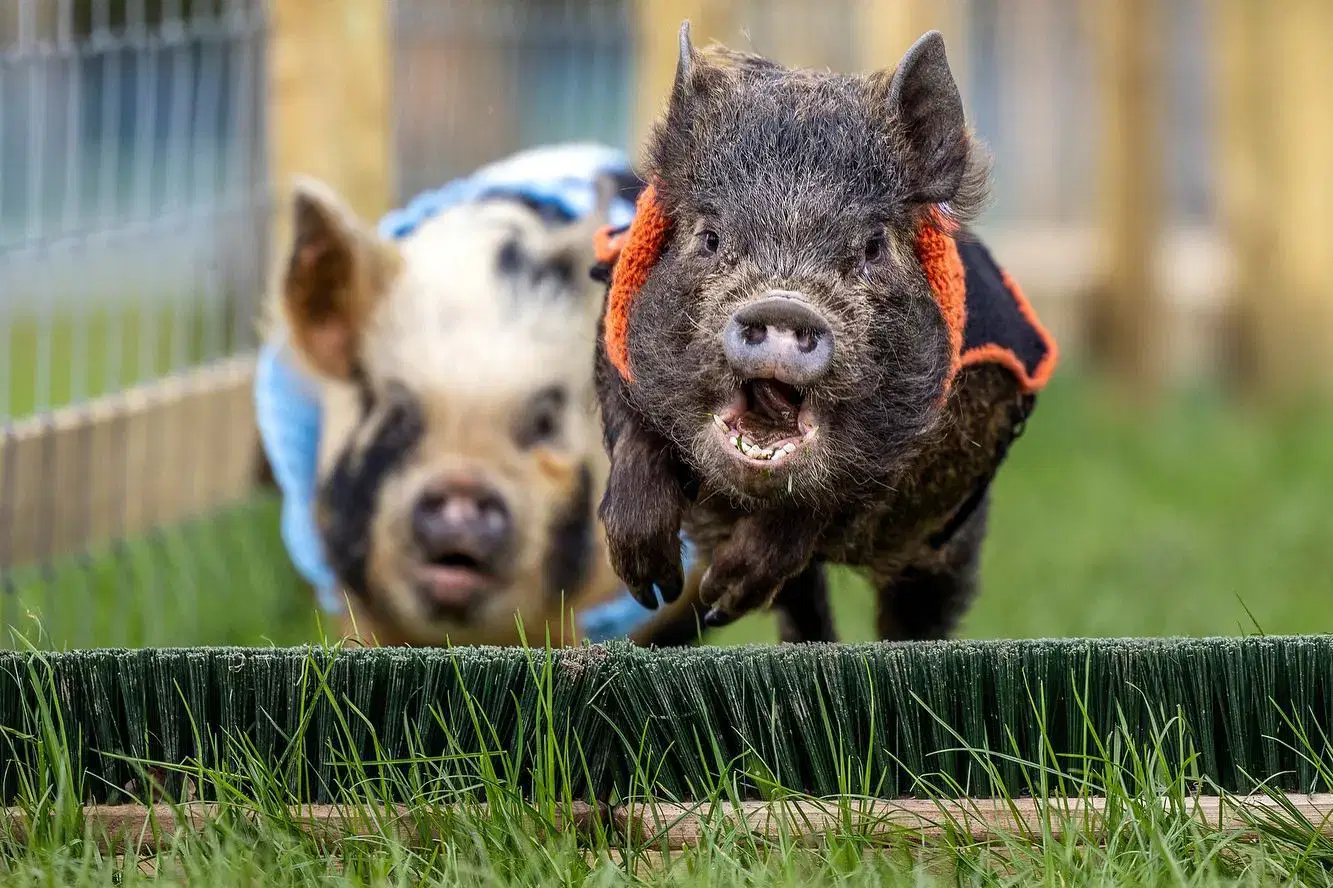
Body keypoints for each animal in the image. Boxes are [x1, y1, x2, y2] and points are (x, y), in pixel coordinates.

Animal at [592, 26, 1058, 644]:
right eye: (710, 238)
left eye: (873, 247)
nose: (783, 303)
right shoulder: (610, 337)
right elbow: (633, 431)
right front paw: (653, 587)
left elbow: (842, 493)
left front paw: (716, 593)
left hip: (945, 555)